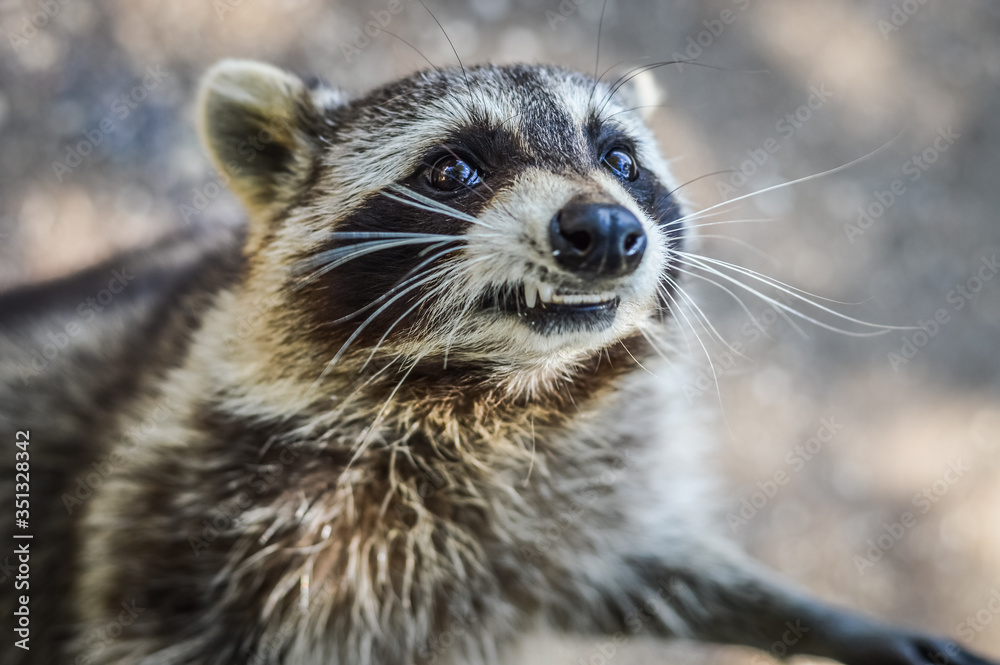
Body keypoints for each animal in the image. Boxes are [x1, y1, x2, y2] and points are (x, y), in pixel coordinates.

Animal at [3, 59, 996, 664]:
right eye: (452, 170)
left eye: (621, 159)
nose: (607, 231)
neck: (501, 394)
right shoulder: (185, 508)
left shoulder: (582, 493)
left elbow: (651, 565)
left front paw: (815, 615)